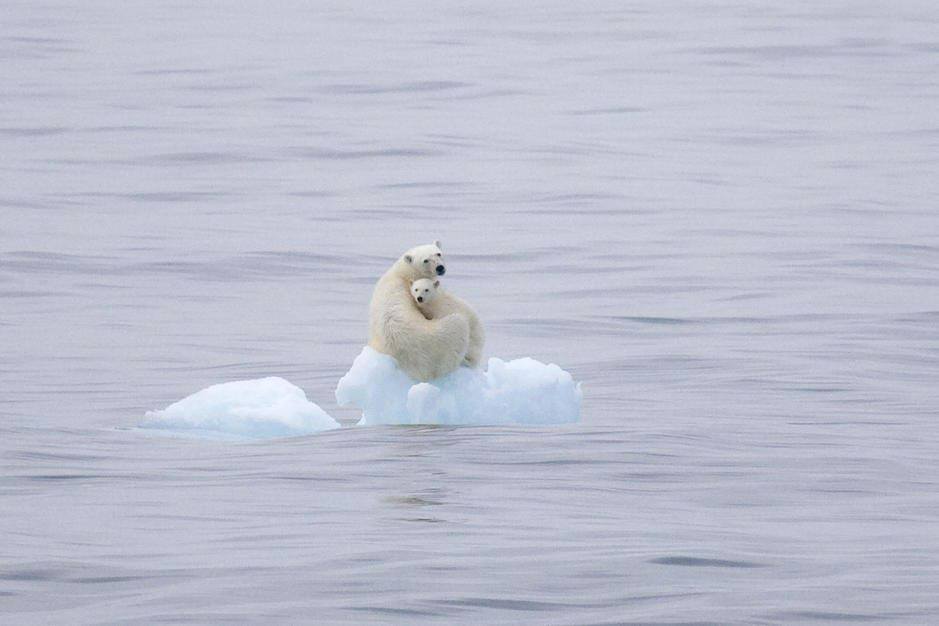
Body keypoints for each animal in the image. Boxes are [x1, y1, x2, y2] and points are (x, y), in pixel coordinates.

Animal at [368, 241, 470, 380]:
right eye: (425, 260)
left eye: (438, 253)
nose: (440, 268)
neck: (403, 273)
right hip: (438, 341)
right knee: (459, 325)